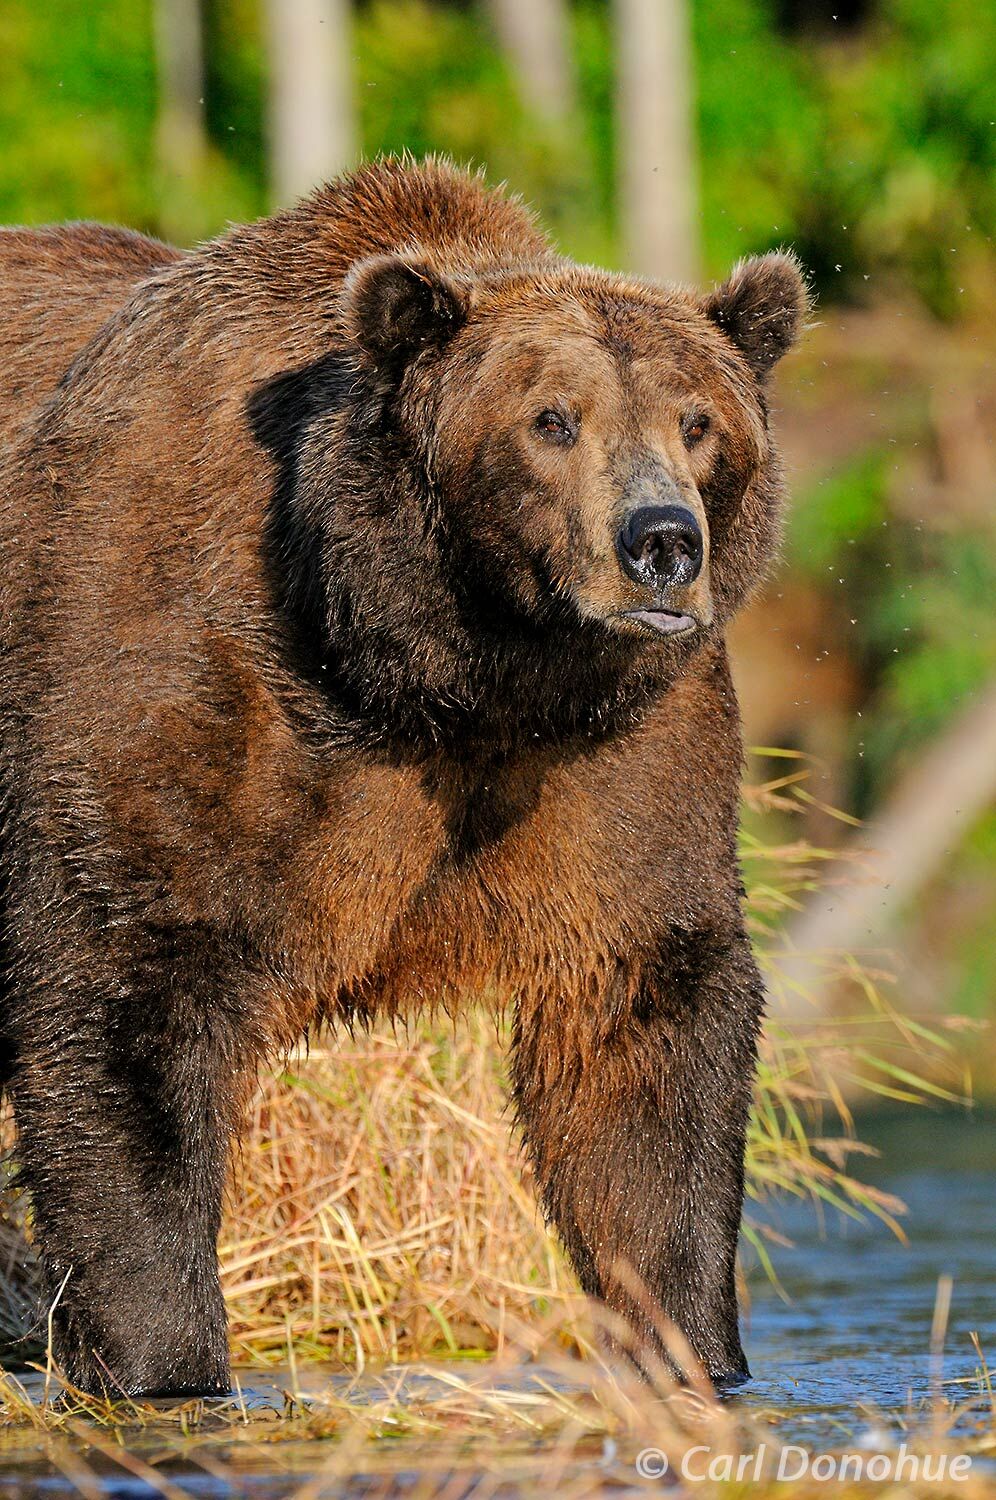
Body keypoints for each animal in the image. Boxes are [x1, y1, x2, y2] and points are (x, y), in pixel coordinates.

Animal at [0, 158, 810, 1398]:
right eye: (551, 419)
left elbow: (646, 1021)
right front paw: (160, 1360)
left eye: (700, 421)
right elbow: (125, 989)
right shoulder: (182, 675)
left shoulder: (626, 748)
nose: (663, 543)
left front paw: (689, 1345)